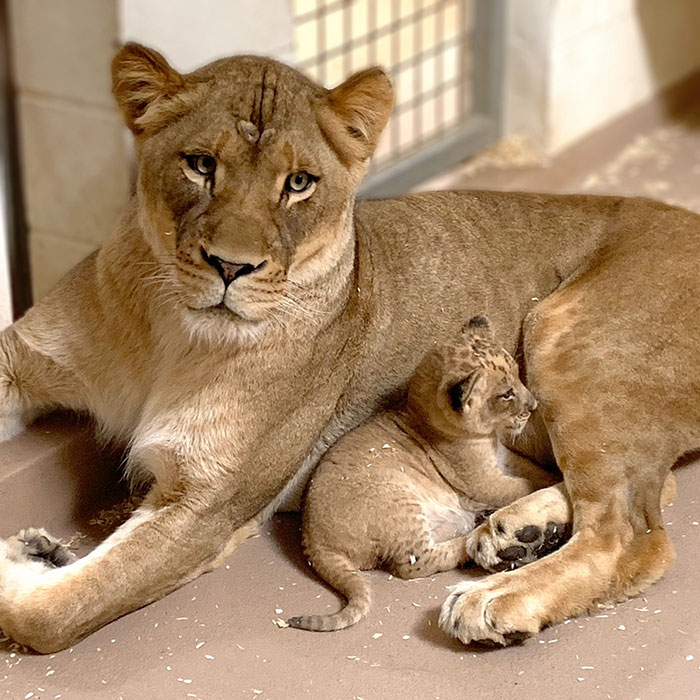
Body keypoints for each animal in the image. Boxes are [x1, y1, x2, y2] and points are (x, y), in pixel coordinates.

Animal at [287, 315, 556, 632]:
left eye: (517, 373)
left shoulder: (504, 458)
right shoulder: (483, 481)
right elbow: (524, 486)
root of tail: (312, 538)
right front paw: (556, 481)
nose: (534, 405)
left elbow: (531, 471)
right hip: (399, 501)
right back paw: (482, 546)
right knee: (413, 564)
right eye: (506, 394)